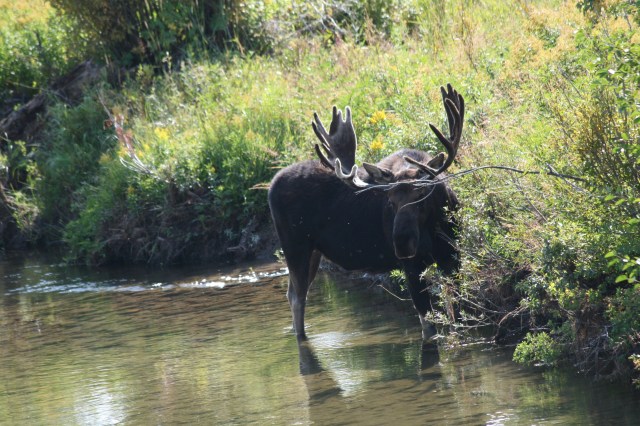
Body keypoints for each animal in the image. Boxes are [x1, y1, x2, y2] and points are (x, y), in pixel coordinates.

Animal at [268, 84, 464, 340]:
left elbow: (457, 313)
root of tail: (271, 185)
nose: (402, 244)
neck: (435, 225)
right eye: (390, 200)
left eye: (422, 194)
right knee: (297, 297)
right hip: (295, 247)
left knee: (294, 293)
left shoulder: (452, 256)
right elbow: (428, 328)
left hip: (313, 252)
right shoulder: (412, 266)